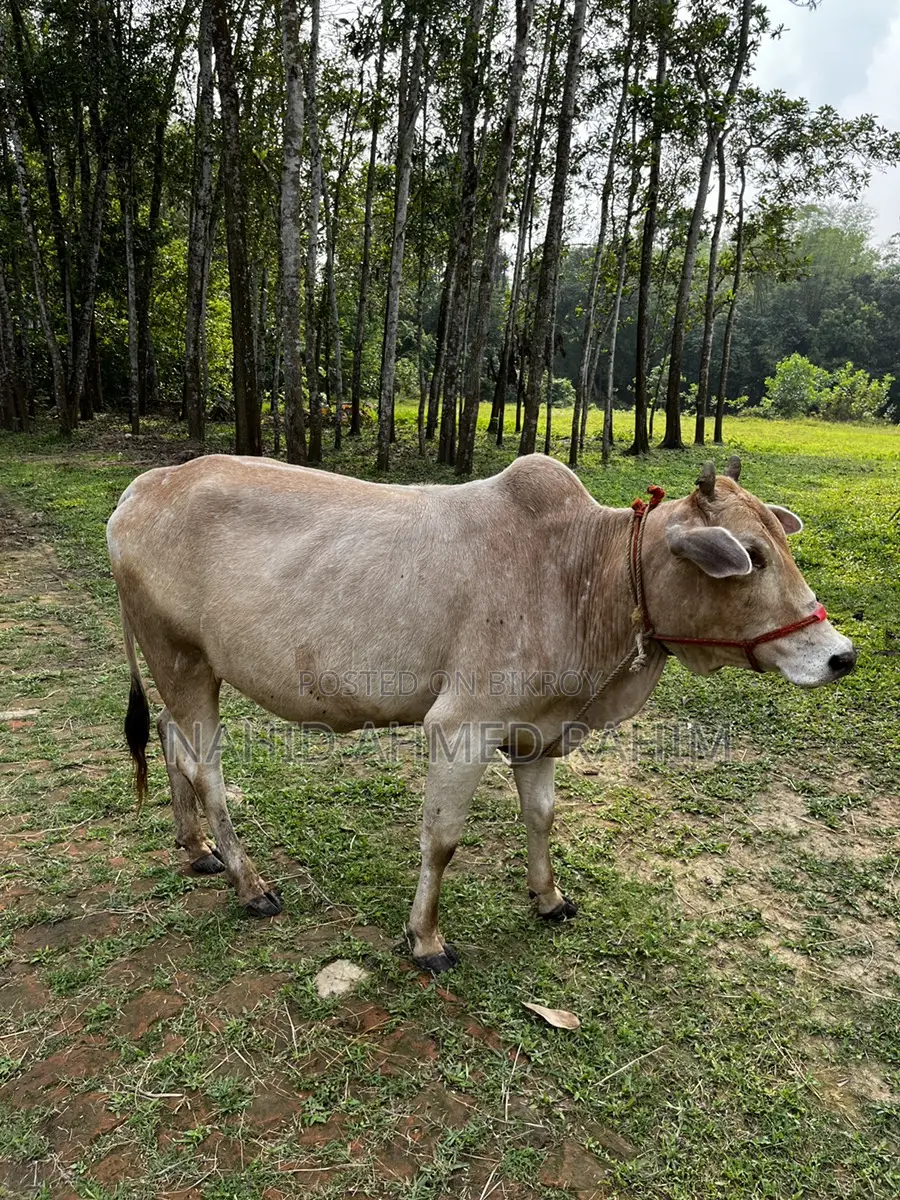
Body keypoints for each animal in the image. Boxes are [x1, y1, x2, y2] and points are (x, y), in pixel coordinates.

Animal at [107, 453, 856, 973]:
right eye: (750, 557)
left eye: (780, 545)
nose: (840, 655)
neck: (582, 574)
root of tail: (141, 489)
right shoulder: (461, 729)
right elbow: (441, 840)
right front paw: (426, 939)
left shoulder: (540, 733)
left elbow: (542, 816)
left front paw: (548, 898)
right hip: (181, 661)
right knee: (206, 770)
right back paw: (249, 882)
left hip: (188, 672)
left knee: (172, 744)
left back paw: (196, 848)